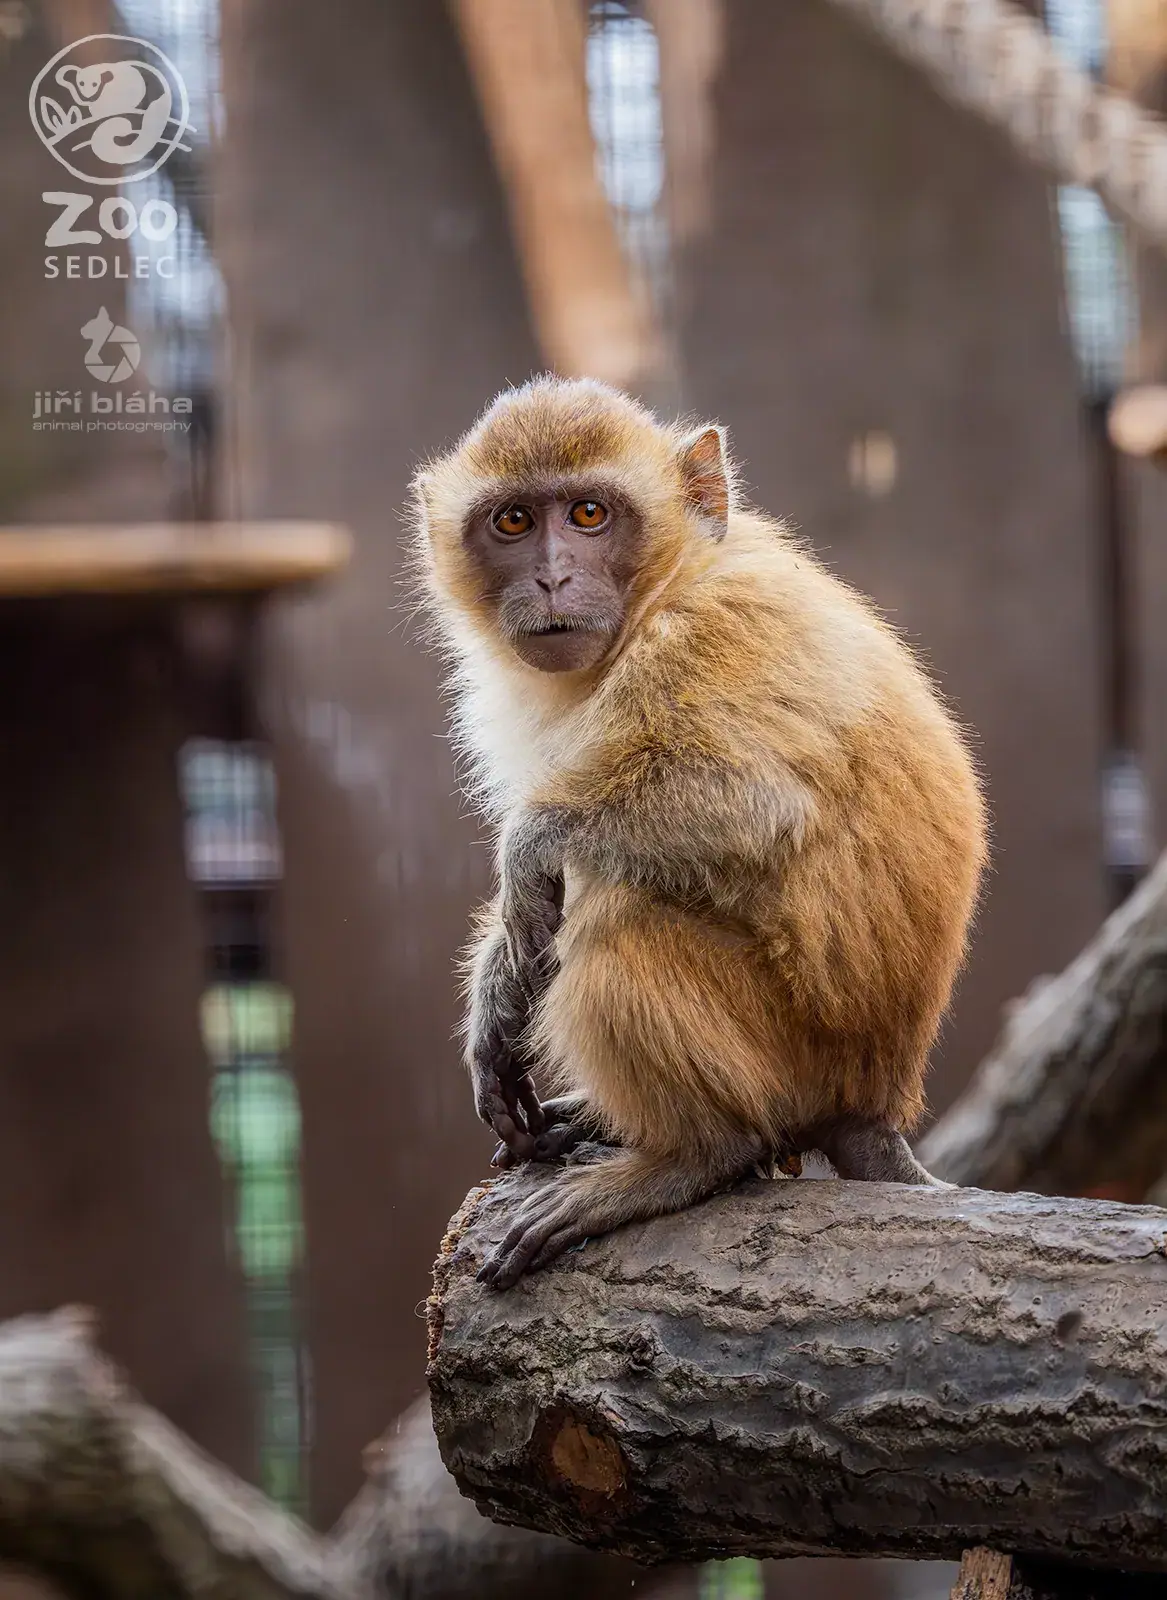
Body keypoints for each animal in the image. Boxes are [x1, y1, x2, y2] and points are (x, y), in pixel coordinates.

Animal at [410, 376, 987, 1291]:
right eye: (513, 521)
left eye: (587, 514)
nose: (550, 576)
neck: (667, 585)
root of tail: (876, 1098)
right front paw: (495, 994)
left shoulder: (711, 634)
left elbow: (755, 800)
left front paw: (526, 852)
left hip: (795, 1057)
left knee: (617, 909)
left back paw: (694, 1156)